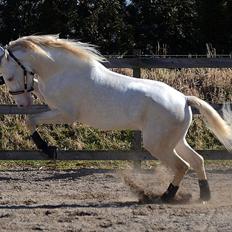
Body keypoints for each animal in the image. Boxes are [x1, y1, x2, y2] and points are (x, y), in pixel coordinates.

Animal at [0, 35, 232, 203]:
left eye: (9, 77)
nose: (22, 104)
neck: (63, 71)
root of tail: (184, 99)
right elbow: (35, 96)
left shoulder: (64, 113)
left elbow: (30, 121)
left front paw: (48, 149)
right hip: (175, 141)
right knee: (197, 160)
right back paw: (204, 196)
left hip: (158, 145)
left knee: (182, 166)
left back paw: (166, 196)